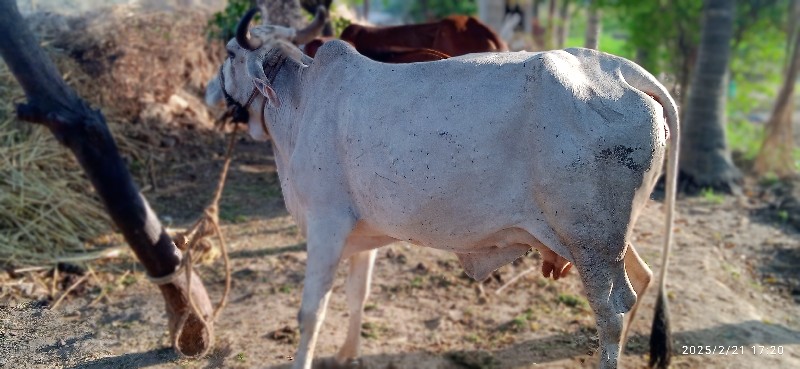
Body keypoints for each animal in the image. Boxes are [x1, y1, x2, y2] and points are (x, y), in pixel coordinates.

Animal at [217, 7, 680, 368]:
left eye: (230, 54)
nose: (211, 92)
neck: (300, 100)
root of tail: (623, 71)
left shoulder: (326, 225)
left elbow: (311, 313)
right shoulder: (362, 233)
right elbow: (355, 296)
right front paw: (347, 353)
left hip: (591, 243)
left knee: (611, 312)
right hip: (602, 240)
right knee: (641, 280)